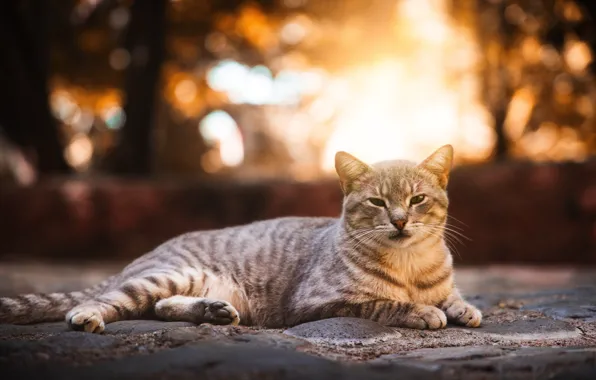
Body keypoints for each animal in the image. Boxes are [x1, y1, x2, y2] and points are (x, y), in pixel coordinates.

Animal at [0, 145, 480, 332]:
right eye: (378, 203)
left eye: (417, 199)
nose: (399, 221)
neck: (411, 265)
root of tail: (143, 256)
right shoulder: (315, 302)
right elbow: (383, 303)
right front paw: (421, 312)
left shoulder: (443, 283)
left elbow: (452, 296)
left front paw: (462, 308)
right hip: (167, 274)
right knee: (108, 300)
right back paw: (87, 315)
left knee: (160, 307)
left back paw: (212, 310)